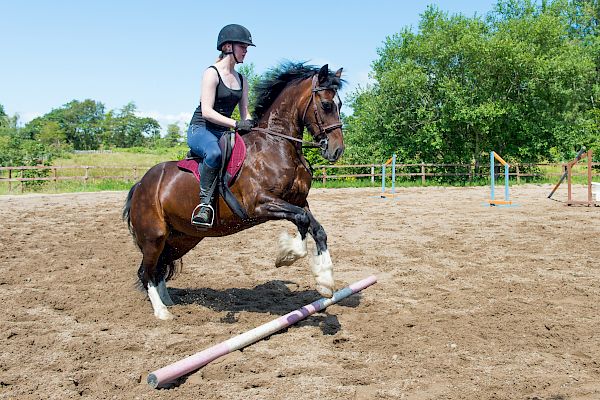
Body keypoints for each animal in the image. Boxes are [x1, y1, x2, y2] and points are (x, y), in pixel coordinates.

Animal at [122, 61, 344, 318]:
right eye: (327, 105)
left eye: (340, 104)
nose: (337, 150)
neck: (277, 144)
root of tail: (139, 185)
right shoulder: (260, 204)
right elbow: (302, 221)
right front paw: (287, 256)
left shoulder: (298, 201)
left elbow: (315, 227)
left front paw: (324, 281)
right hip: (154, 237)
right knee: (146, 271)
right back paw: (162, 312)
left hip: (182, 238)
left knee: (159, 267)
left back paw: (168, 302)